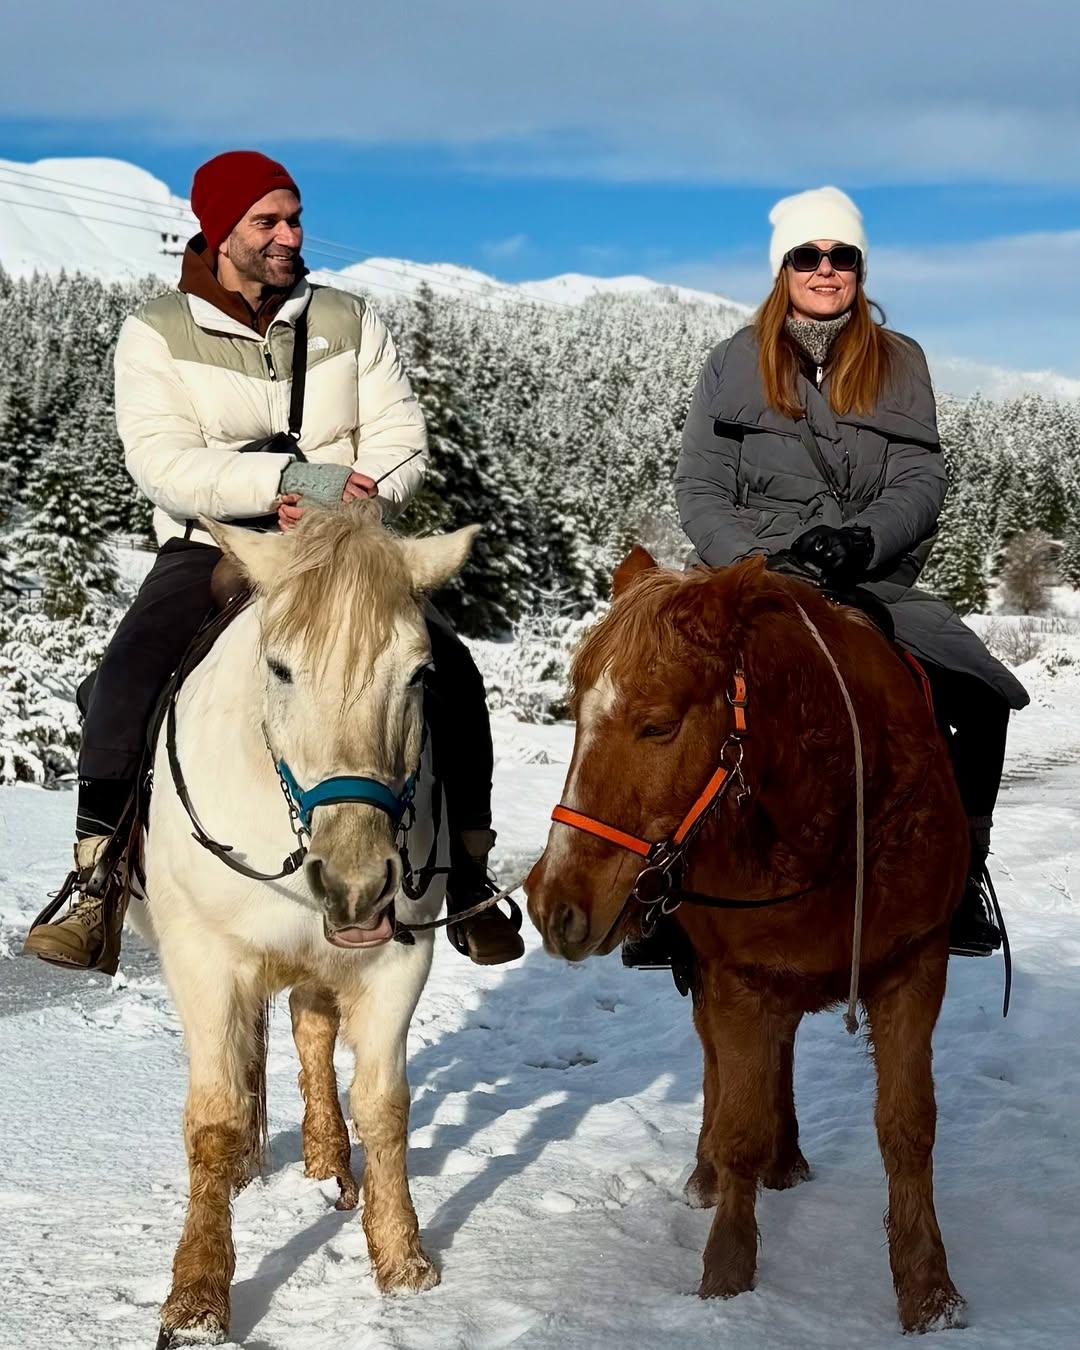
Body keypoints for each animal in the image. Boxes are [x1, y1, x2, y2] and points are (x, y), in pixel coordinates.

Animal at [129, 502, 472, 1344]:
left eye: (421, 674)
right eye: (280, 669)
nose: (355, 883)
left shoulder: (395, 961)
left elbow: (384, 1106)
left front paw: (402, 1260)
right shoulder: (205, 960)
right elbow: (214, 1119)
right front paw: (196, 1298)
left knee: (311, 1033)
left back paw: (325, 1161)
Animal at [526, 545, 972, 1328]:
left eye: (658, 725)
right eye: (575, 714)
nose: (555, 906)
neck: (829, 827)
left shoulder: (916, 967)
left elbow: (908, 1127)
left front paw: (929, 1293)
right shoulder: (736, 979)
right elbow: (737, 1123)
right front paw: (726, 1280)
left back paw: (786, 1160)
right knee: (722, 1070)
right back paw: (715, 1173)